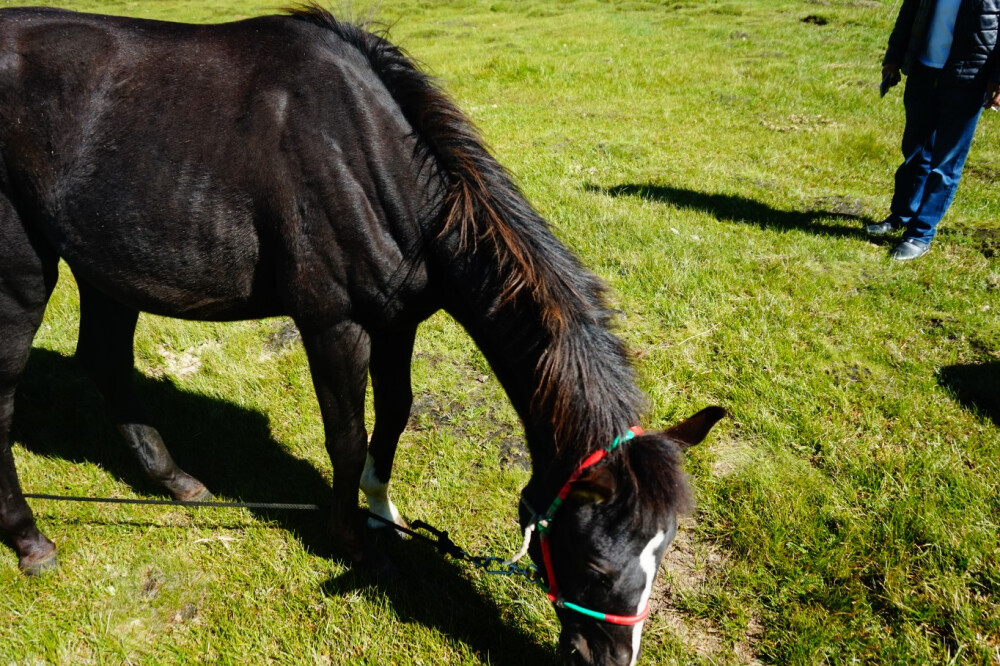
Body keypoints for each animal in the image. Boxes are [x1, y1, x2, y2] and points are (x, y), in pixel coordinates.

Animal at [0, 6, 724, 664]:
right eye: (596, 565)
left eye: (663, 553)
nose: (607, 658)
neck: (373, 160)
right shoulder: (334, 325)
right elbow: (345, 438)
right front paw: (353, 539)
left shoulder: (397, 321)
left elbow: (396, 414)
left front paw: (384, 512)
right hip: (24, 270)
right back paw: (32, 541)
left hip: (106, 266)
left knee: (104, 361)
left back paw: (176, 482)